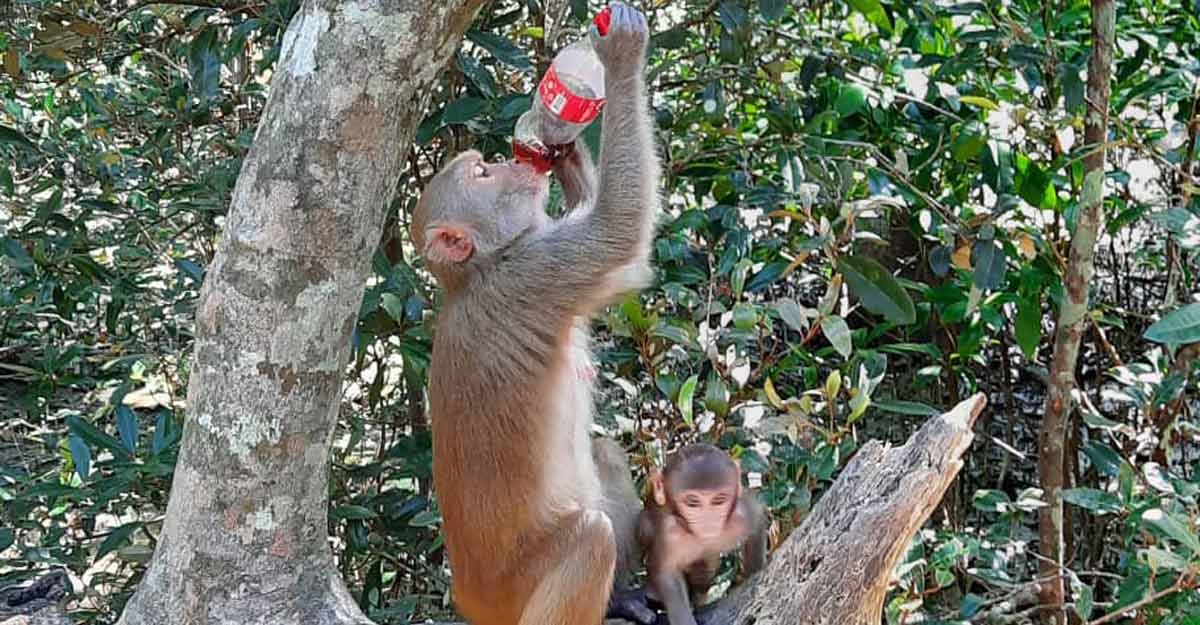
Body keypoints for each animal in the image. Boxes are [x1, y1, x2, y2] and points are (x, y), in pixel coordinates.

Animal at [410, 4, 659, 625]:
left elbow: (622, 261)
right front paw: (619, 57)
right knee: (590, 538)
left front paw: (561, 145)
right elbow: (620, 233)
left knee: (604, 455)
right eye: (481, 175)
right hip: (518, 590)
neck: (482, 270)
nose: (510, 158)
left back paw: (620, 597)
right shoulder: (535, 274)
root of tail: (472, 599)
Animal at [636, 443, 768, 625]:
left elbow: (757, 522)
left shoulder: (742, 515)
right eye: (692, 503)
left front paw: (752, 576)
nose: (708, 519)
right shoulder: (671, 535)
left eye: (719, 500)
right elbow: (667, 574)